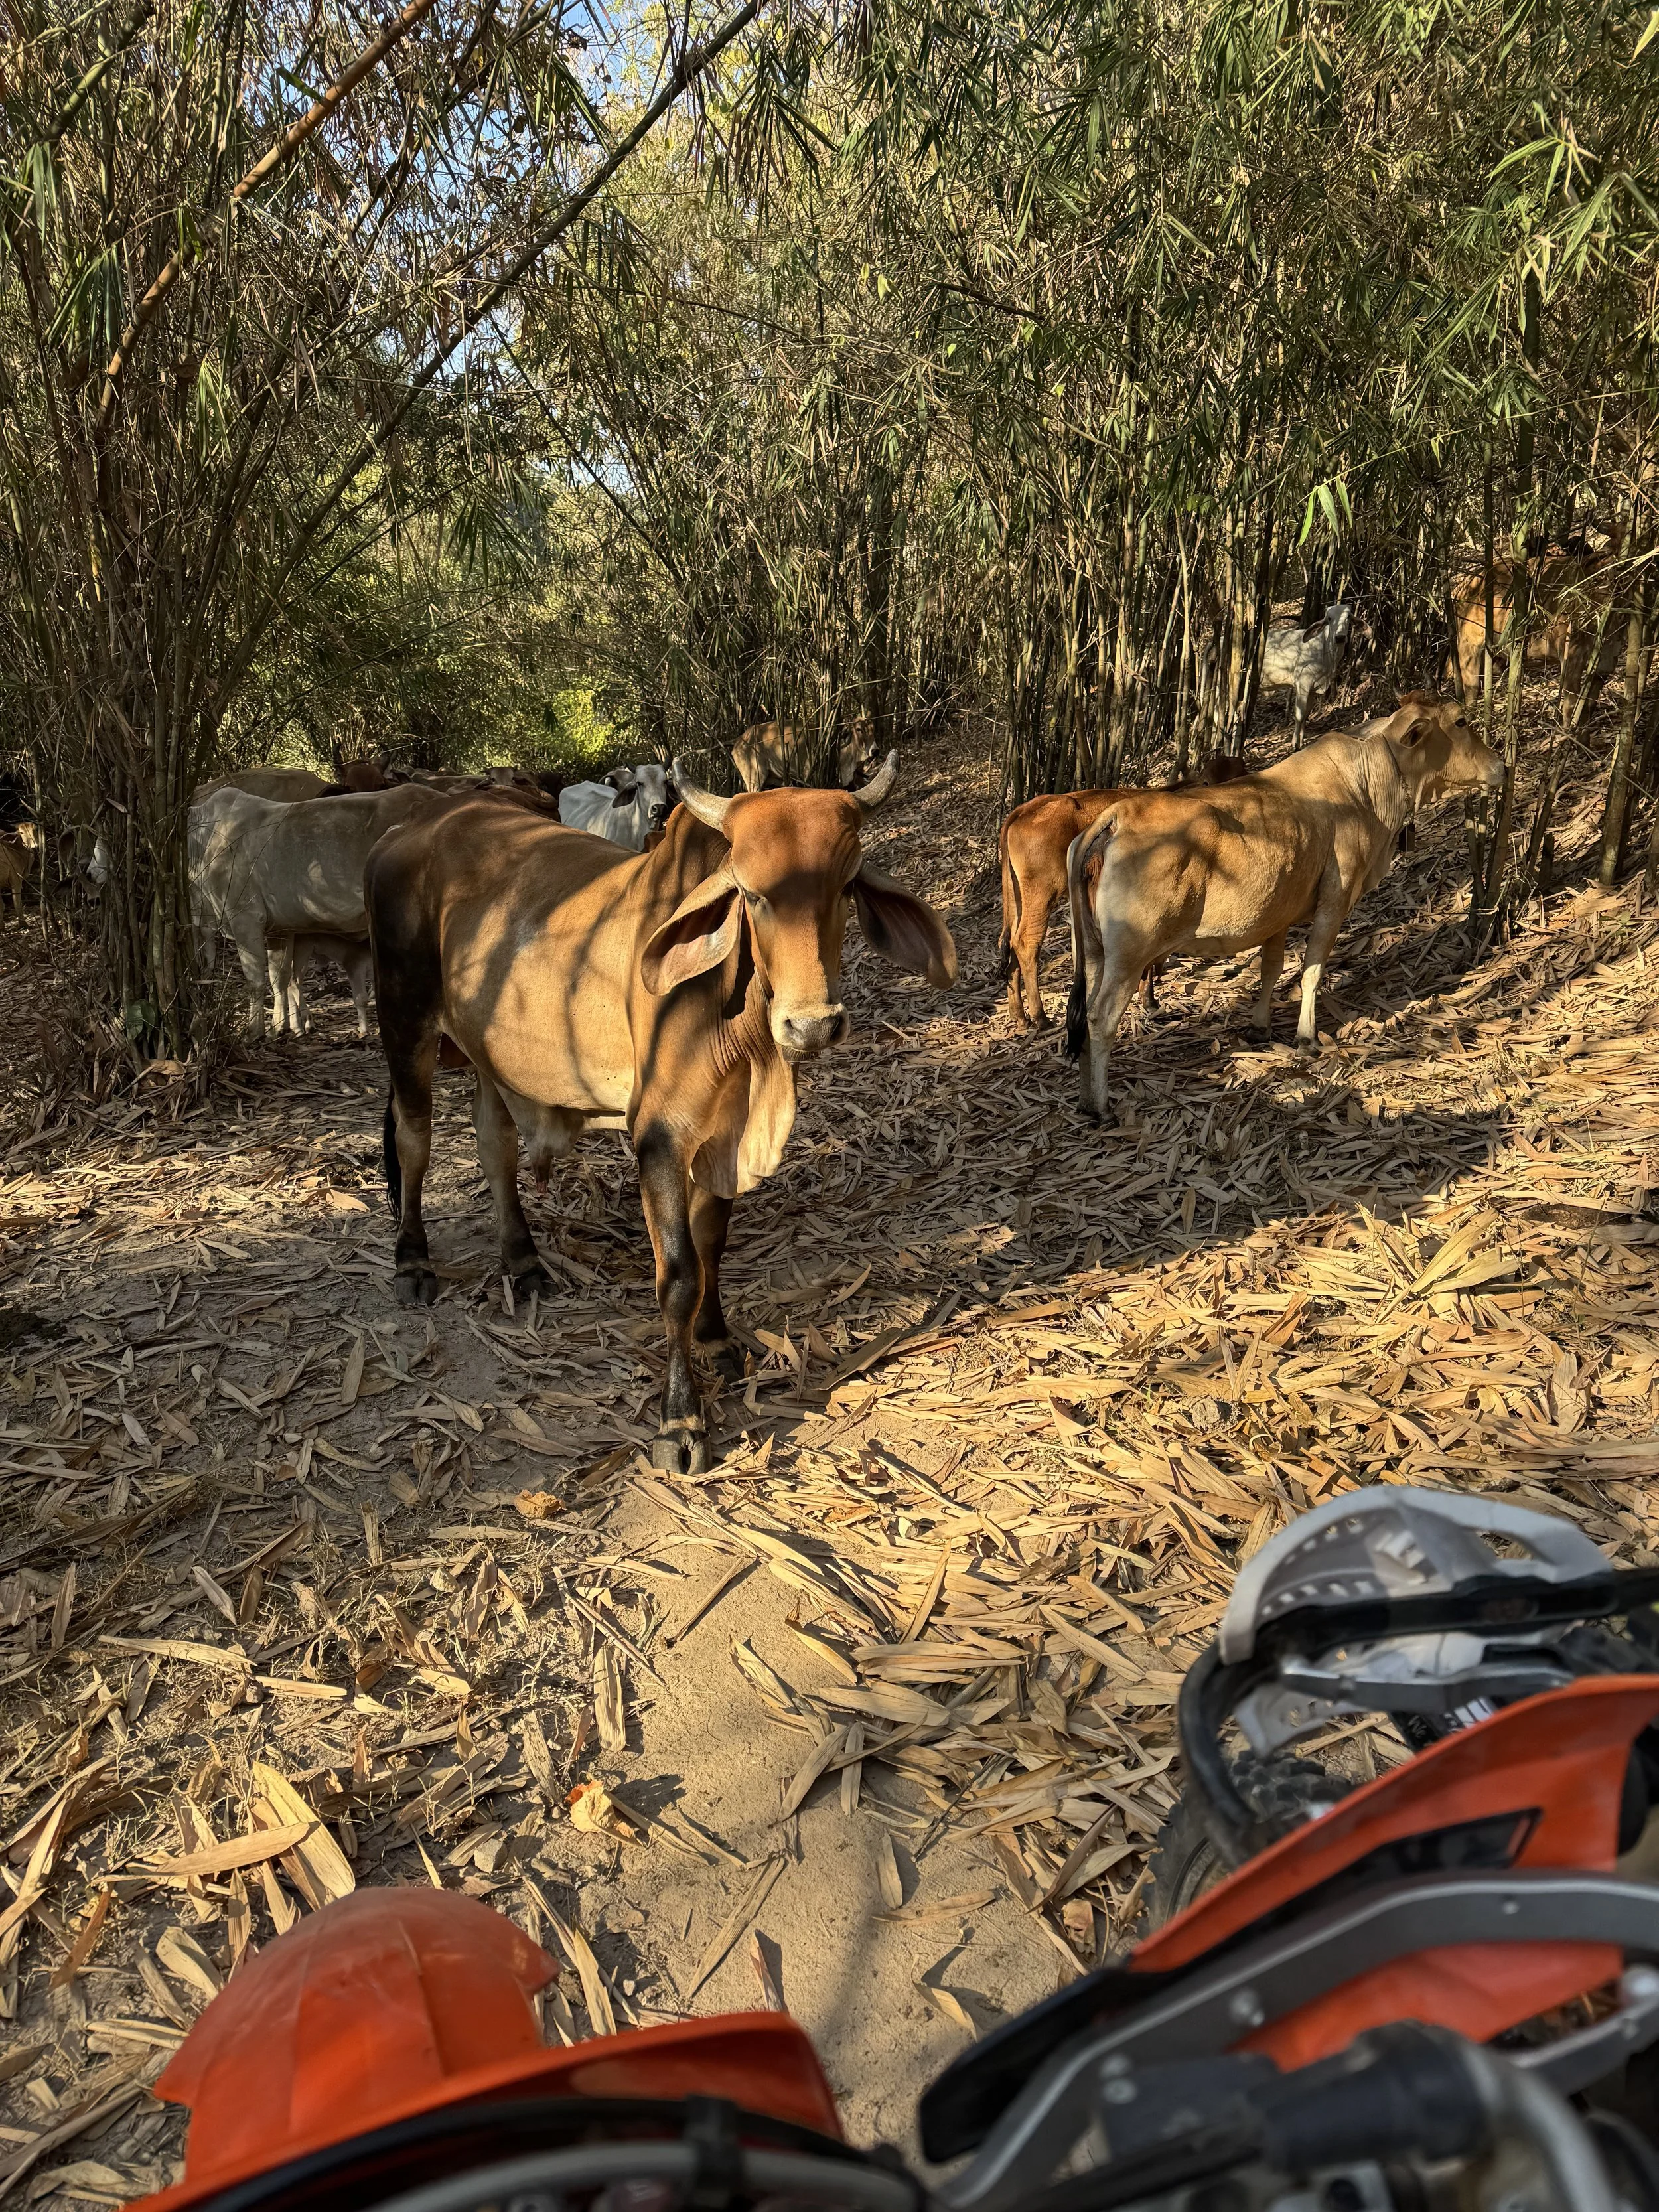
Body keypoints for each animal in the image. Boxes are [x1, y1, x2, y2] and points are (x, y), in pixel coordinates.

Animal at [189, 784, 451, 1035]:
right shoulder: (280, 929)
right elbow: (279, 977)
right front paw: (279, 1027)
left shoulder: (244, 916)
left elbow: (255, 979)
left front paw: (255, 1031)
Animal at [998, 756, 1251, 1029]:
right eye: (1209, 781)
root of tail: (1026, 808)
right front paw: (1149, 1001)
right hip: (1042, 893)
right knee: (1026, 944)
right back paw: (1040, 1017)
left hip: (1018, 897)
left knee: (1010, 944)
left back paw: (1019, 1017)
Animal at [1063, 701, 1503, 1118]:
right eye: (1461, 721)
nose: (1500, 765)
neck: (1369, 784)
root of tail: (1114, 817)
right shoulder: (1335, 901)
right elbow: (1312, 970)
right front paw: (1307, 1038)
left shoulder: (1277, 913)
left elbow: (1271, 969)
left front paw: (1260, 1026)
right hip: (1129, 956)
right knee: (1100, 1019)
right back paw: (1100, 1106)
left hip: (1093, 952)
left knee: (1082, 1018)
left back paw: (1084, 1099)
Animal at [1259, 601, 1356, 745]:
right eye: (1329, 618)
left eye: (1348, 617)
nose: (1340, 638)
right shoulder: (1303, 683)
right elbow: (1300, 714)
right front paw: (1295, 743)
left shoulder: (1313, 687)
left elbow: (1306, 714)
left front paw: (1302, 741)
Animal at [1449, 555, 1620, 719]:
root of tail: (1459, 590)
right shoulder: (1571, 654)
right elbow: (1571, 707)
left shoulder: (1606, 663)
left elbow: (1588, 705)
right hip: (1468, 646)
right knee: (1471, 688)